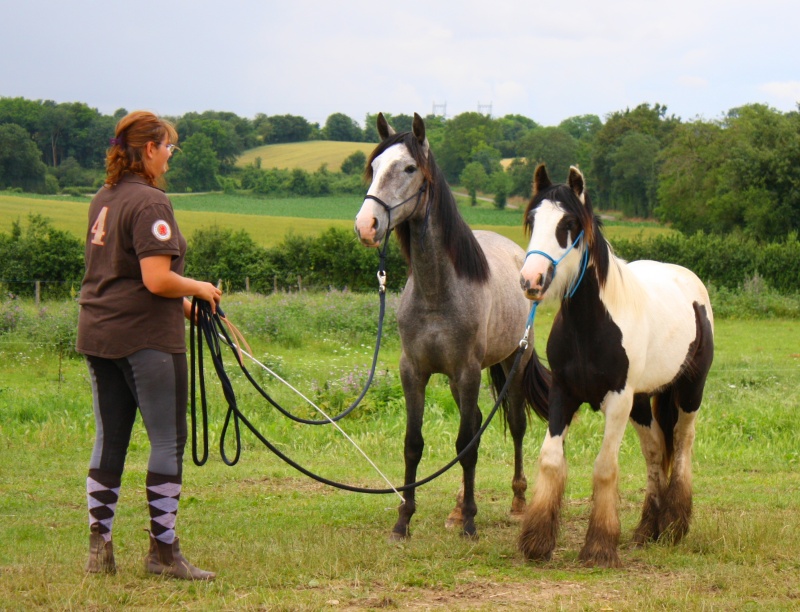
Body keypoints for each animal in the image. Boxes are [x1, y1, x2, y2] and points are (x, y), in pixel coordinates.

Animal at [354, 112, 552, 536]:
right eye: (374, 167)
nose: (366, 225)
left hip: (512, 364)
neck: (437, 292)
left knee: (514, 424)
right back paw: (459, 506)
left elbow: (468, 444)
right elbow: (414, 443)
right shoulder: (414, 371)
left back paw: (517, 501)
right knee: (474, 421)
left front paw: (471, 524)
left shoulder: (467, 371)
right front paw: (404, 521)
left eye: (409, 168)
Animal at [516, 165, 716, 568]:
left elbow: (605, 467)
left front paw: (599, 546)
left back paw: (674, 525)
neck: (590, 326)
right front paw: (538, 540)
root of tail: (689, 281)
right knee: (655, 451)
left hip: (689, 392)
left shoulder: (618, 400)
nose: (532, 281)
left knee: (682, 445)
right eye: (532, 220)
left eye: (569, 223)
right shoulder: (564, 394)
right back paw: (647, 529)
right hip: (642, 402)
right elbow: (550, 460)